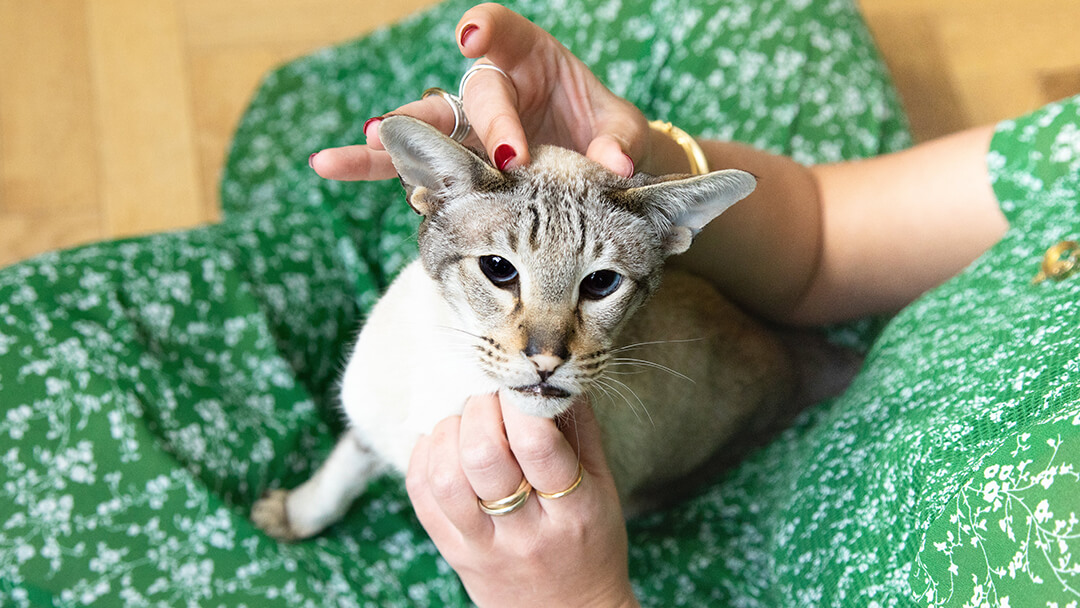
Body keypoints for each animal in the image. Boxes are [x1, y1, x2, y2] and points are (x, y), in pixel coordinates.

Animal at [248, 116, 799, 539]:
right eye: (498, 269)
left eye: (601, 283)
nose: (547, 359)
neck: (455, 382)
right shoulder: (368, 418)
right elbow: (341, 468)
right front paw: (294, 513)